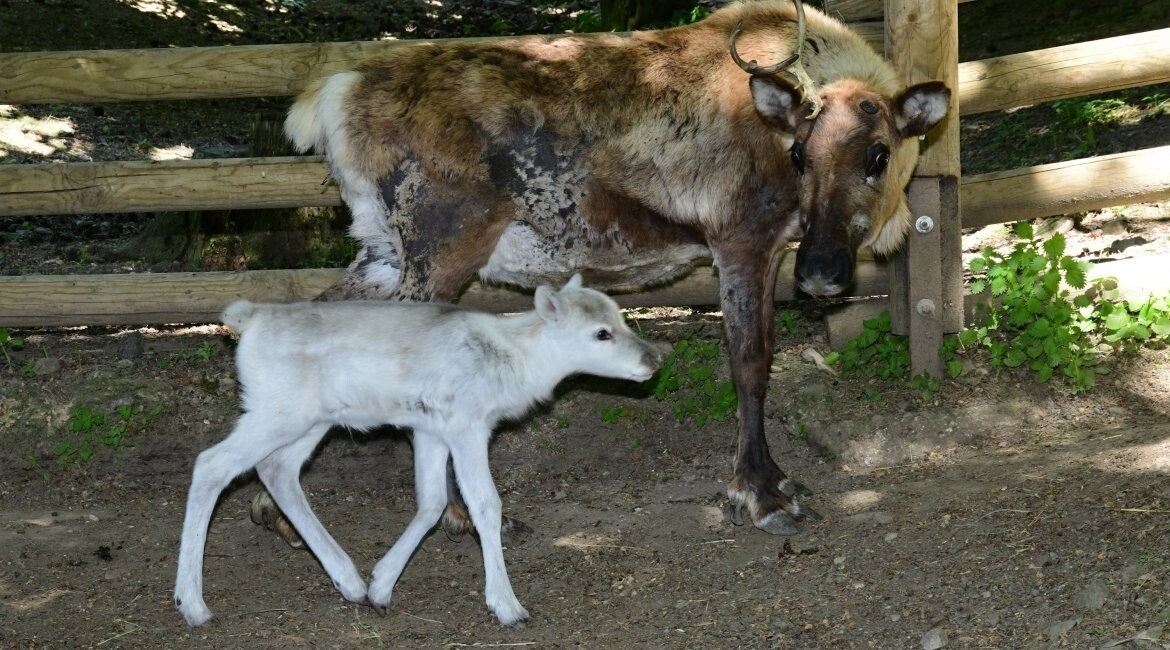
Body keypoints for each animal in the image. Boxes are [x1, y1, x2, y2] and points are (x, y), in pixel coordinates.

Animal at [174, 272, 669, 626]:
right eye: (601, 333)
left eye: (621, 318)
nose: (654, 359)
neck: (518, 362)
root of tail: (247, 317)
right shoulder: (469, 425)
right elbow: (485, 503)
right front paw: (508, 607)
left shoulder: (431, 429)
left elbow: (431, 502)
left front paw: (381, 588)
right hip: (277, 411)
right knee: (211, 463)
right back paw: (193, 604)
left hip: (311, 421)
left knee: (278, 471)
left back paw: (351, 582)